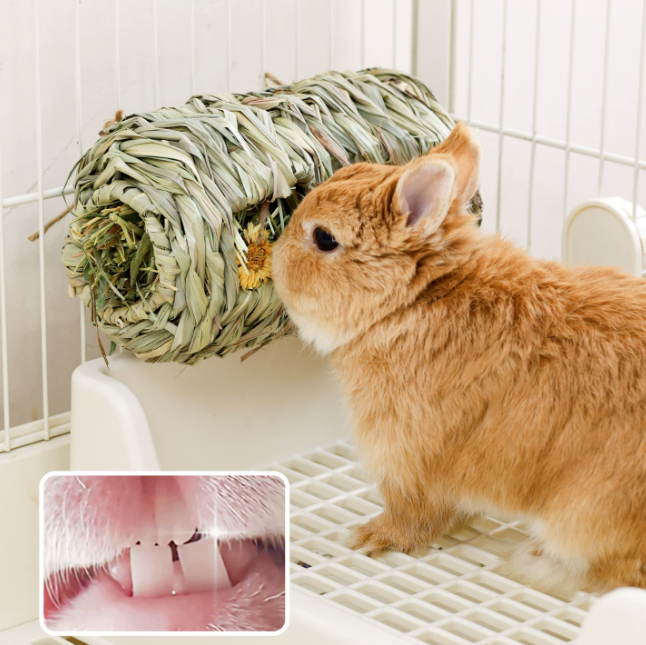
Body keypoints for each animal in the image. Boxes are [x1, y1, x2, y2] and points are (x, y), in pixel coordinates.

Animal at [272, 121, 646, 593]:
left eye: (324, 238)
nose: (274, 256)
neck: (412, 300)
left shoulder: (406, 454)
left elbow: (413, 514)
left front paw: (369, 537)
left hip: (587, 512)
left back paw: (536, 563)